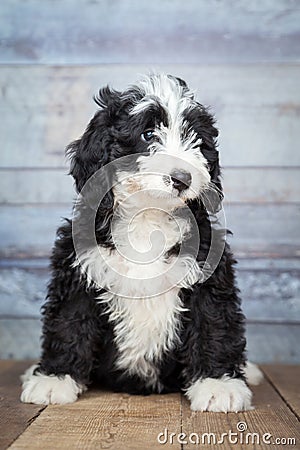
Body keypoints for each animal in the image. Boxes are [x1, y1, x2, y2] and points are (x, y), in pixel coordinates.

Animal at [20, 74, 262, 412]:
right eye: (148, 134)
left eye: (195, 140)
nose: (182, 178)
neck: (149, 217)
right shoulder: (78, 270)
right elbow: (69, 321)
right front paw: (55, 378)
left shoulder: (208, 272)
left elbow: (213, 322)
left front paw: (218, 384)